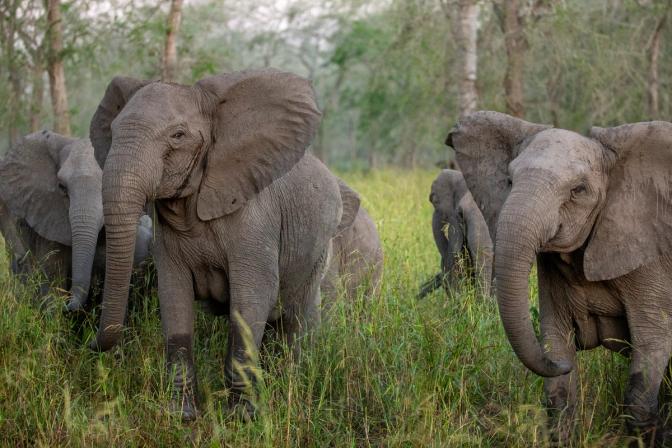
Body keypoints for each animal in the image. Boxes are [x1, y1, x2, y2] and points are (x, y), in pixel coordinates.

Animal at [87, 68, 357, 421]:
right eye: (113, 131)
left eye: (178, 135)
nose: (90, 344)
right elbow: (174, 299)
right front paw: (181, 415)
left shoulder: (256, 217)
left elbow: (253, 296)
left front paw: (242, 419)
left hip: (320, 244)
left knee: (296, 316)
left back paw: (290, 388)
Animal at [447, 110, 672, 444]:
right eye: (509, 181)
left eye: (578, 190)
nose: (560, 364)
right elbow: (557, 373)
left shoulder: (652, 261)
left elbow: (652, 346)